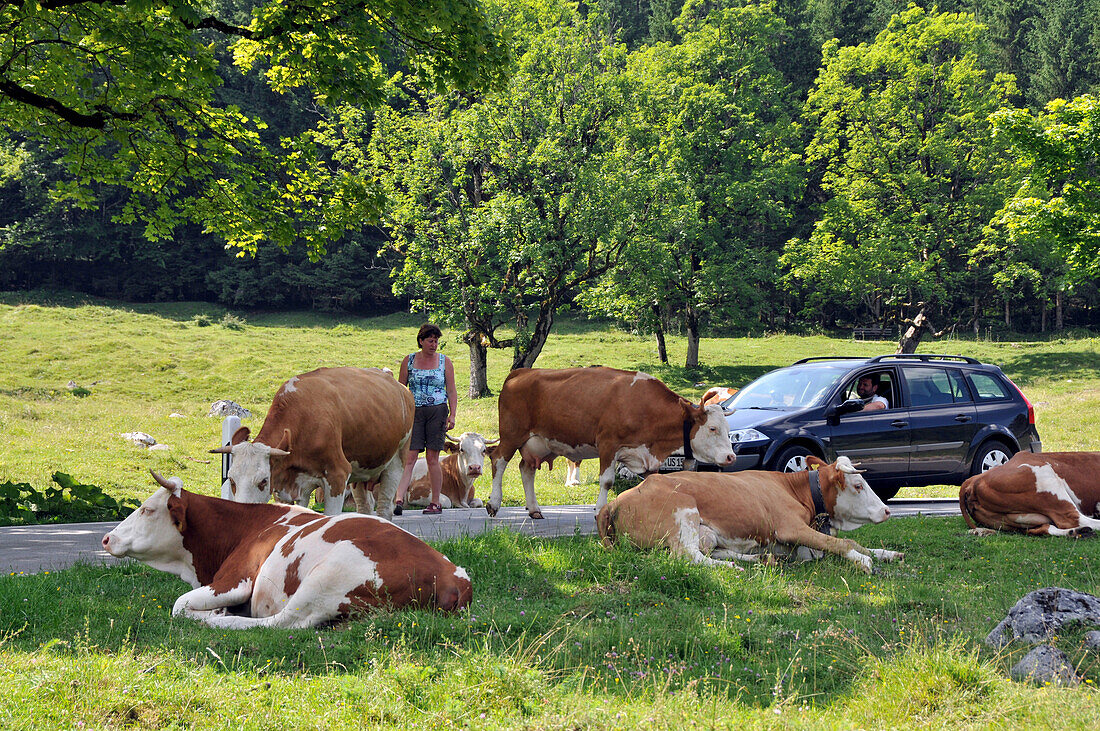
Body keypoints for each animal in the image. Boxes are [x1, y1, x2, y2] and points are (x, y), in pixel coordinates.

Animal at [103, 472, 477, 628]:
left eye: (147, 509)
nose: (106, 539)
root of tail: (451, 575)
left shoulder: (235, 580)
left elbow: (179, 606)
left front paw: (215, 612)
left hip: (326, 579)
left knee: (280, 623)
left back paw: (224, 620)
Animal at [210, 364, 413, 518]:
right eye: (231, 480)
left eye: (263, 481)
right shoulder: (288, 487)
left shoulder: (338, 476)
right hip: (361, 471)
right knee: (365, 506)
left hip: (396, 463)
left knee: (385, 507)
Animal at [488, 364, 730, 518]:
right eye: (713, 428)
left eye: (728, 430)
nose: (730, 456)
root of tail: (521, 372)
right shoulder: (607, 444)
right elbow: (606, 481)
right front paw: (600, 510)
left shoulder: (644, 456)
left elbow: (651, 485)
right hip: (512, 435)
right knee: (498, 460)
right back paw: (494, 503)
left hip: (539, 442)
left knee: (526, 469)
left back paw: (534, 509)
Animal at [602, 452, 902, 571]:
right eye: (858, 485)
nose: (887, 510)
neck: (794, 489)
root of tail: (615, 502)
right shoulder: (790, 528)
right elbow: (843, 542)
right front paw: (863, 561)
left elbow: (850, 542)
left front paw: (887, 553)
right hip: (683, 511)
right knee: (688, 556)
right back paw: (733, 567)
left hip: (708, 534)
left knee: (709, 552)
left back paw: (759, 559)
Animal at [959, 450, 1100, 536]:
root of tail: (975, 479)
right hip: (1049, 483)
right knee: (1074, 519)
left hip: (1011, 520)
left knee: (1042, 528)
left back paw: (1076, 532)